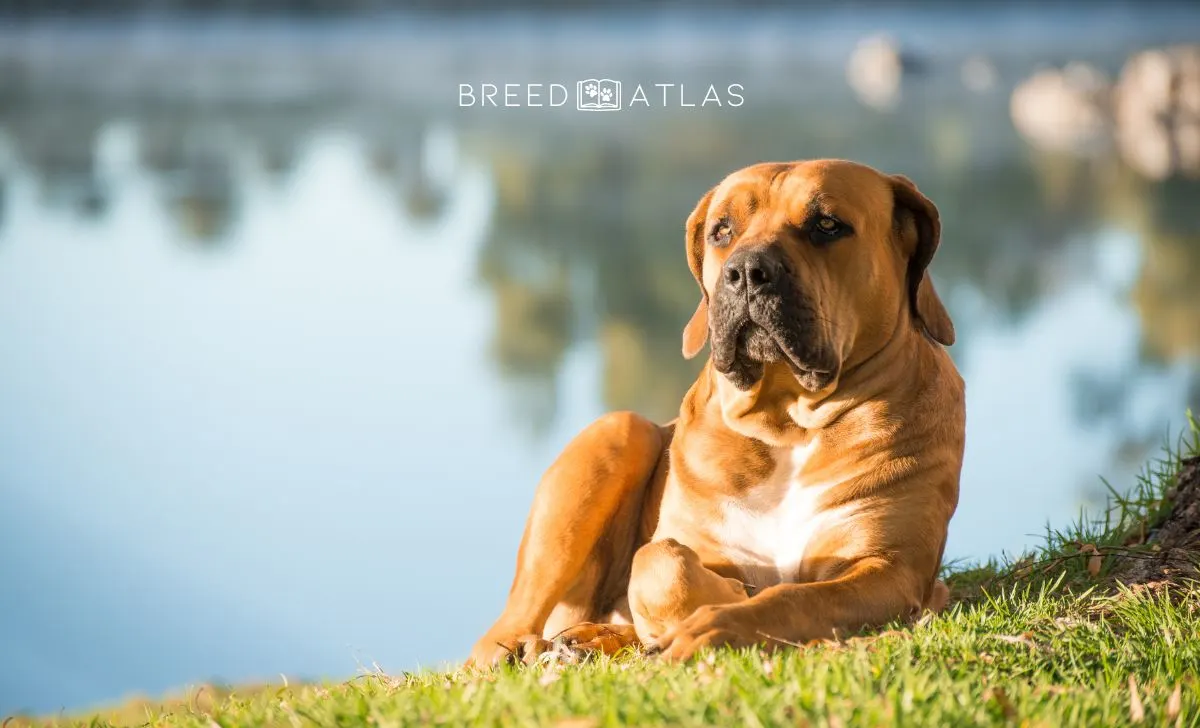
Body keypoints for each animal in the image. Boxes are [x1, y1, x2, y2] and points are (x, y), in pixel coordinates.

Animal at [468, 159, 964, 666]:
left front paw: (719, 621)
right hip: (614, 434)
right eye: (722, 231)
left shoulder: (890, 568)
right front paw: (723, 598)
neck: (788, 423)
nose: (745, 270)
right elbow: (660, 563)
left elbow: (796, 597)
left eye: (827, 225)